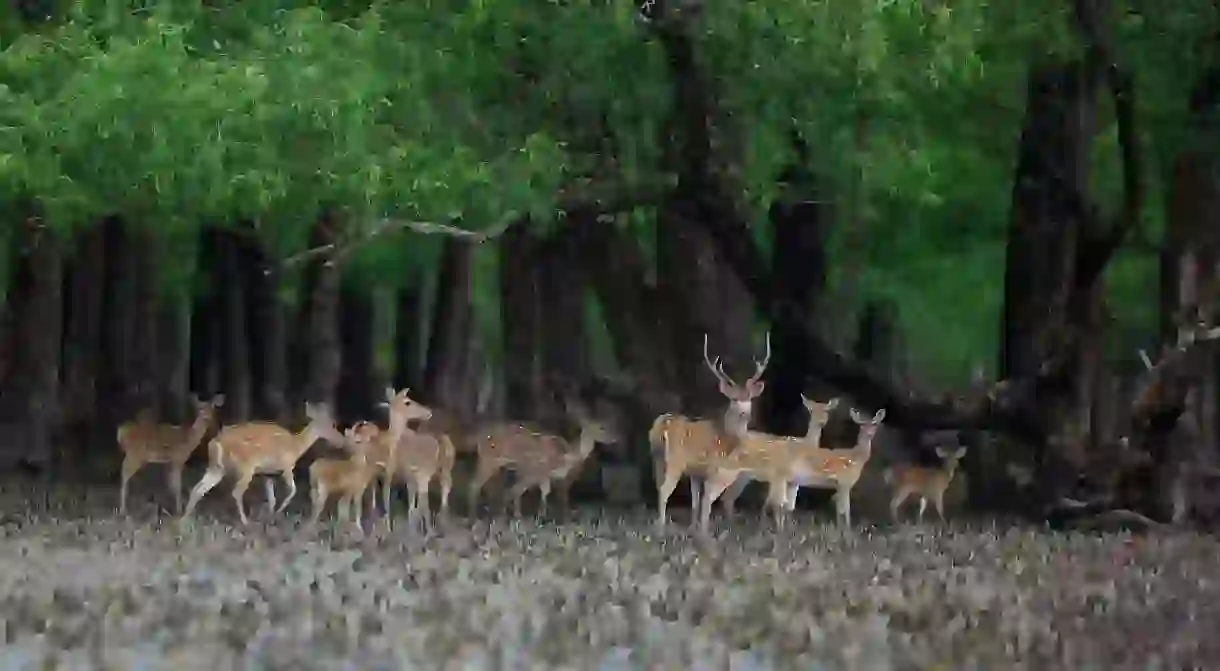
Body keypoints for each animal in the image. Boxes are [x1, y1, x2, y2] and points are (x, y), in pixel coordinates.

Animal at [178, 402, 346, 529]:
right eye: (331, 425)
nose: (341, 440)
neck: (296, 446)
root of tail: (216, 443)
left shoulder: (268, 474)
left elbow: (271, 498)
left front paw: (270, 518)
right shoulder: (286, 466)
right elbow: (293, 490)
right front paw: (277, 512)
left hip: (216, 468)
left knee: (198, 488)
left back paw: (184, 519)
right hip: (245, 466)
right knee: (236, 492)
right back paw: (245, 522)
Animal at [463, 400, 624, 519]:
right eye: (602, 428)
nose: (616, 438)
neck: (566, 455)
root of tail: (479, 436)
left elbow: (532, 491)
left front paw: (528, 515)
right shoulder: (539, 471)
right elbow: (540, 491)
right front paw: (540, 516)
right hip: (489, 460)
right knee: (475, 485)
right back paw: (474, 517)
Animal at [649, 334, 771, 529]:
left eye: (749, 398)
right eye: (734, 399)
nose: (745, 414)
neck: (729, 439)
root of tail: (663, 425)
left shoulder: (696, 473)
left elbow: (695, 502)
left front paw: (693, 527)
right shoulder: (715, 470)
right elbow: (706, 503)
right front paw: (704, 529)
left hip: (657, 457)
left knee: (658, 486)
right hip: (676, 460)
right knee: (665, 490)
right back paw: (661, 527)